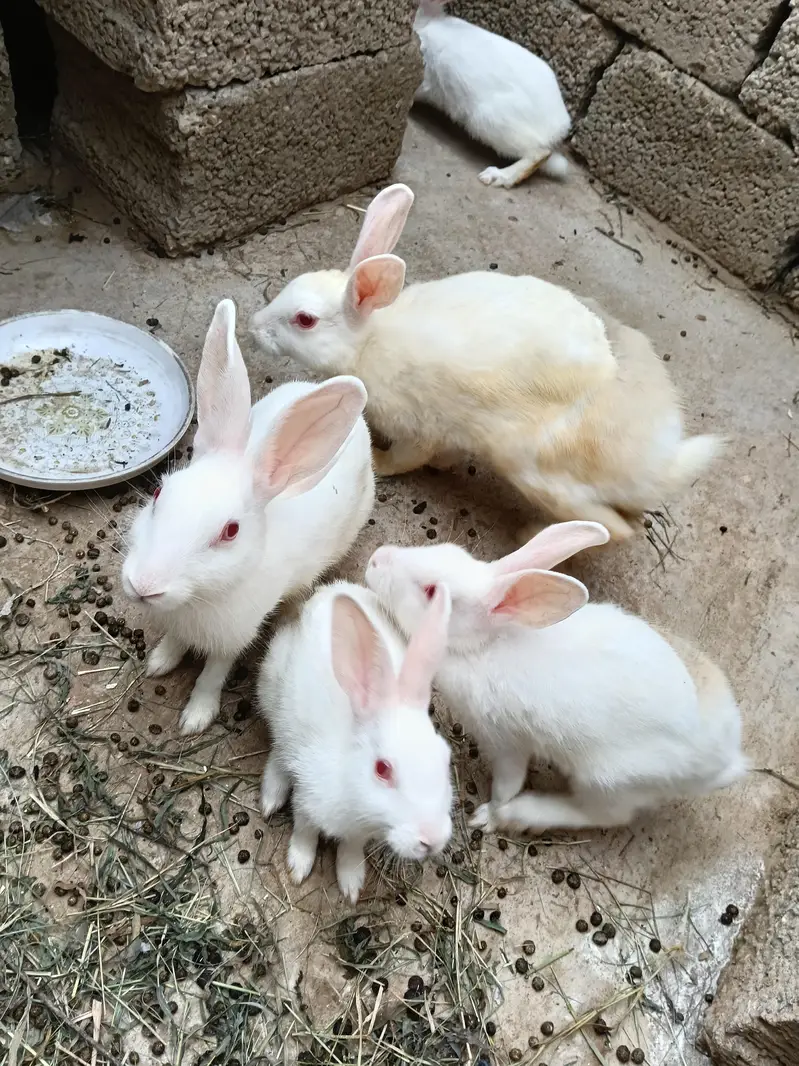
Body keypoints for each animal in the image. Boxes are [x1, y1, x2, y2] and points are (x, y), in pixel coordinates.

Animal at [122, 299, 375, 735]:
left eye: (230, 531)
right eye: (158, 494)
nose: (144, 586)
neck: (198, 599)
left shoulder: (233, 638)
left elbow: (213, 674)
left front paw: (196, 718)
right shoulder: (177, 624)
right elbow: (173, 642)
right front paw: (159, 663)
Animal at [250, 183, 720, 542]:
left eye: (305, 320)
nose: (254, 328)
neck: (367, 341)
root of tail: (658, 459)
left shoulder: (418, 427)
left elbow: (407, 458)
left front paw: (381, 464)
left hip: (534, 469)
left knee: (616, 530)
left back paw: (529, 535)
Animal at [257, 580, 454, 902]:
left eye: (445, 759)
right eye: (382, 769)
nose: (432, 839)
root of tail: (327, 590)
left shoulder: (359, 833)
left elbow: (351, 849)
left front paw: (351, 884)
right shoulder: (308, 800)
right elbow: (304, 832)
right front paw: (298, 867)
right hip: (274, 696)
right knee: (278, 749)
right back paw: (271, 797)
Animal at [365, 520, 748, 834]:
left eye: (431, 591)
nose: (375, 559)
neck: (483, 645)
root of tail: (724, 761)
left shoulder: (505, 740)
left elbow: (508, 781)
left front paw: (490, 815)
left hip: (607, 780)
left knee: (603, 816)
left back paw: (521, 815)